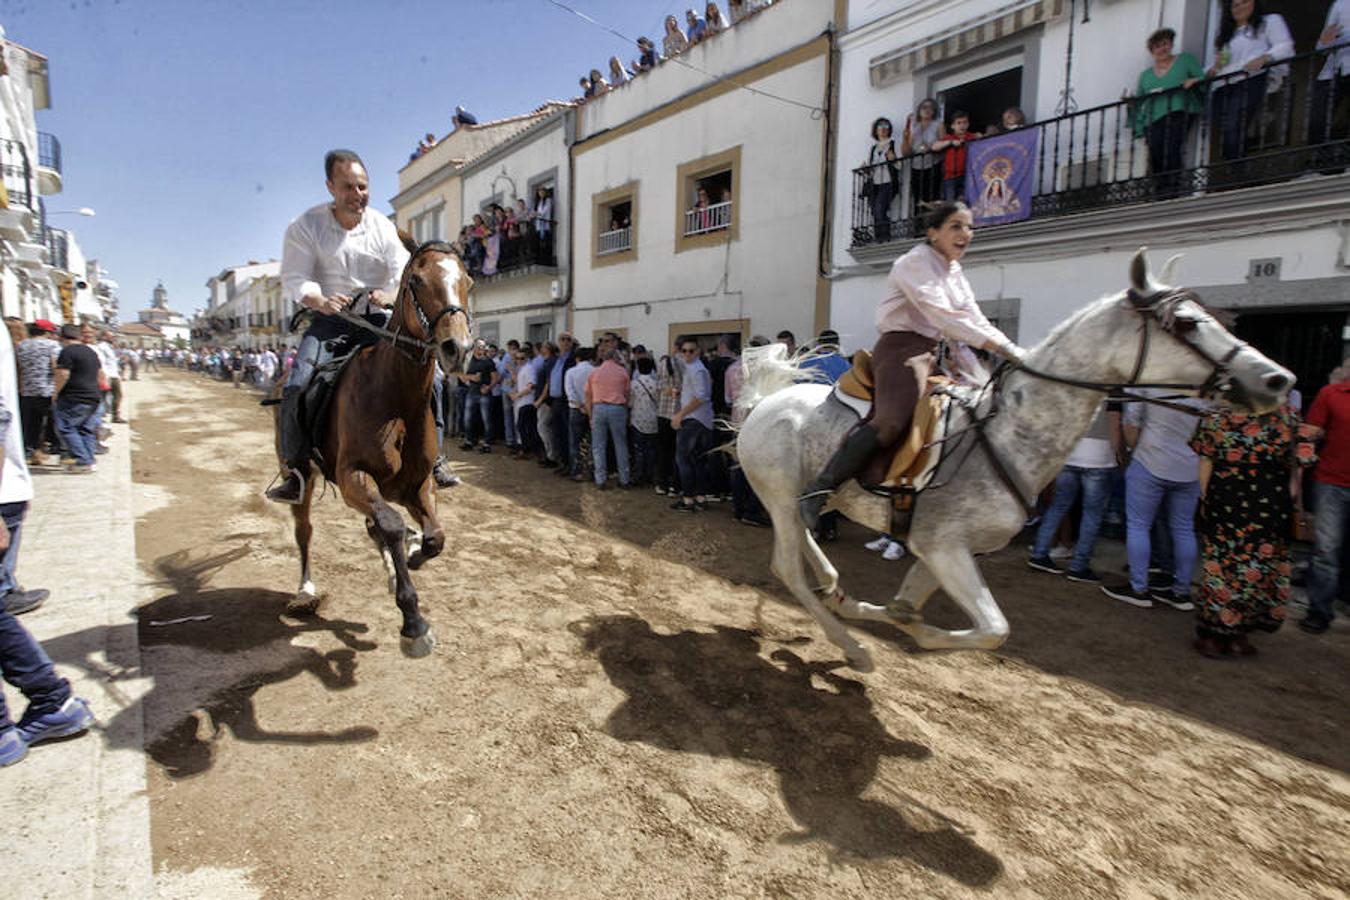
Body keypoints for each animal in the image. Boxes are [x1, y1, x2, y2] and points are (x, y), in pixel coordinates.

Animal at [284, 236, 475, 658]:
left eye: (468, 279)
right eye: (417, 280)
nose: (457, 349)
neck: (395, 397)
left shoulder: (416, 484)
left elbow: (434, 538)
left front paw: (415, 556)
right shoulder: (353, 475)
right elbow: (392, 526)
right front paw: (414, 624)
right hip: (305, 476)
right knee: (305, 530)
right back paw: (305, 591)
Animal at [739, 249, 1296, 671]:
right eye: (1186, 323)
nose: (1278, 380)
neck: (1008, 435)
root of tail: (765, 404)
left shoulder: (942, 547)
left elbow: (916, 607)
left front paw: (879, 610)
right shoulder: (943, 546)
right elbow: (992, 629)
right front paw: (906, 630)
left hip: (812, 498)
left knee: (807, 532)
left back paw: (835, 587)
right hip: (781, 495)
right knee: (787, 566)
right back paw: (852, 647)